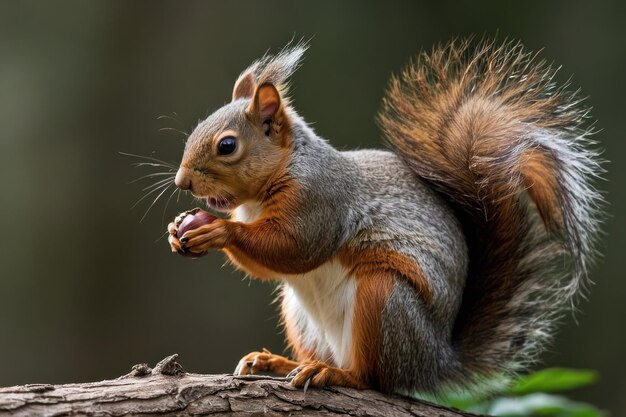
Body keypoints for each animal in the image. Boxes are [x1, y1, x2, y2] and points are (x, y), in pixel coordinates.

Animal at [165, 39, 600, 394]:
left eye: (227, 145)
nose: (181, 181)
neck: (281, 173)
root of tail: (434, 363)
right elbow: (268, 265)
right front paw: (176, 230)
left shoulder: (321, 201)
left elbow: (295, 247)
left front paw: (219, 230)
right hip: (300, 313)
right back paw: (279, 363)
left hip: (385, 299)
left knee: (373, 378)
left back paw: (334, 374)